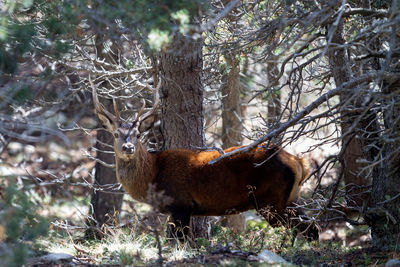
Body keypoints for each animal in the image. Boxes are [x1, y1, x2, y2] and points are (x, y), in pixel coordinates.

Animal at [90, 79, 318, 243]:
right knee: (311, 226)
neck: (153, 175)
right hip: (291, 197)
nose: (128, 147)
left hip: (272, 200)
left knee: (306, 227)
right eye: (116, 134)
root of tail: (299, 162)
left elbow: (181, 241)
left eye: (138, 134)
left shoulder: (181, 203)